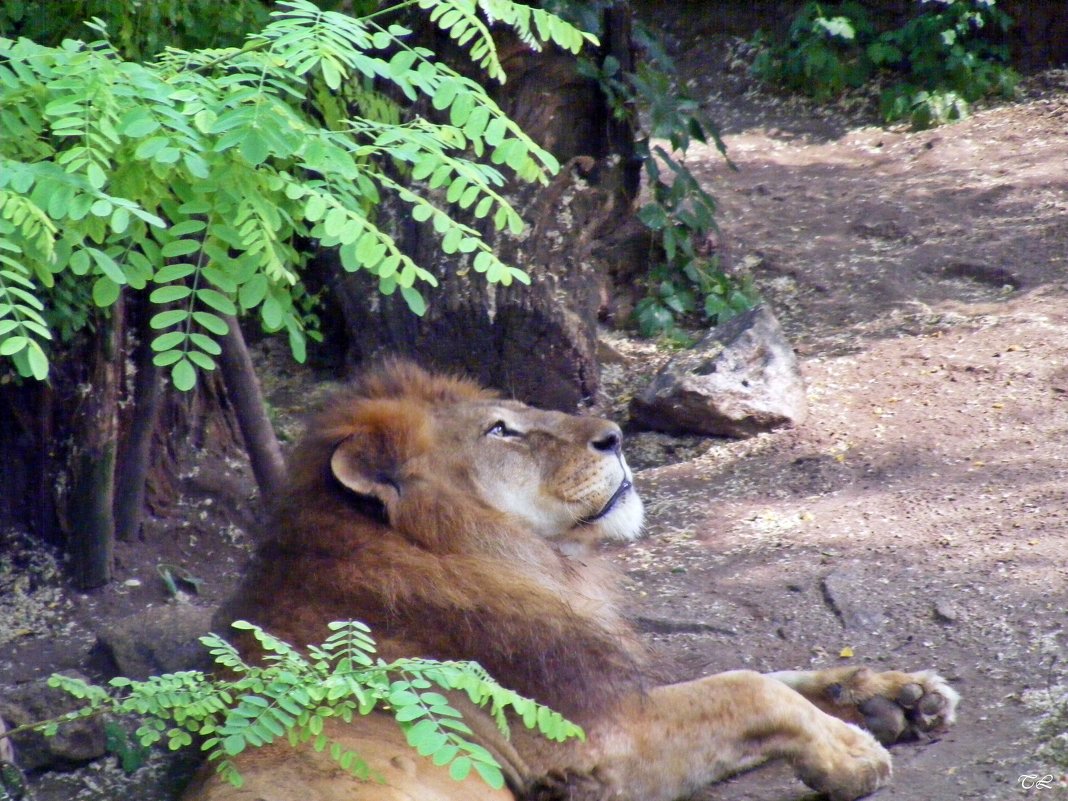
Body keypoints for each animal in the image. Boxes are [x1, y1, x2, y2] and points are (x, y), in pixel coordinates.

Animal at [183, 363, 961, 801]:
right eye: (500, 430)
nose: (615, 434)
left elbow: (780, 674)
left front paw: (897, 694)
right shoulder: (592, 737)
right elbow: (748, 685)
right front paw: (850, 754)